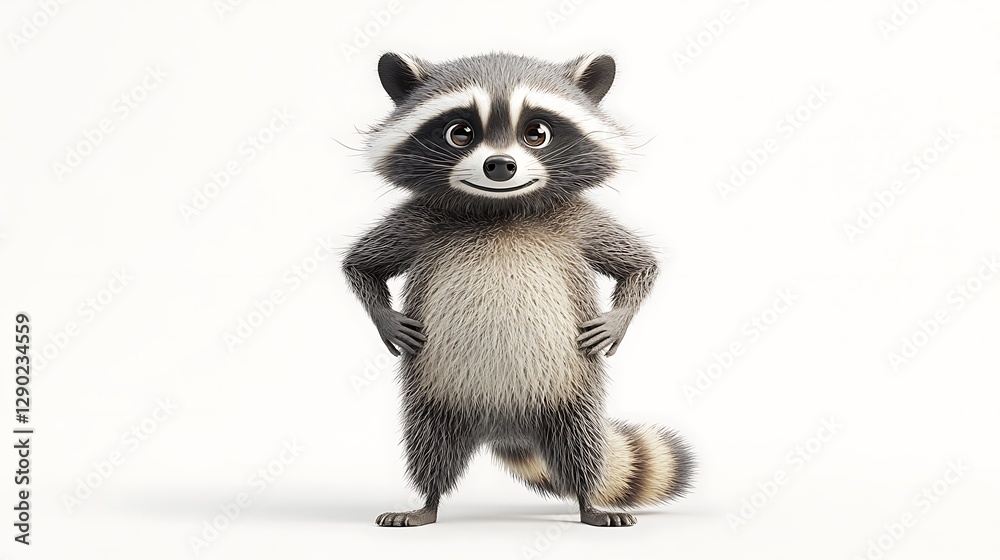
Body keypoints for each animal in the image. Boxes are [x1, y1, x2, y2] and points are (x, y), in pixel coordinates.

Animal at [342, 52, 693, 527]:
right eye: (459, 132)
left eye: (537, 133)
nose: (499, 166)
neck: (500, 209)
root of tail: (506, 423)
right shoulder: (420, 219)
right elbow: (361, 265)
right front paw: (387, 321)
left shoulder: (578, 220)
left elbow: (640, 265)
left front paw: (616, 322)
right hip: (435, 396)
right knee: (429, 444)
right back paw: (427, 502)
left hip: (570, 396)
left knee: (581, 446)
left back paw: (588, 501)